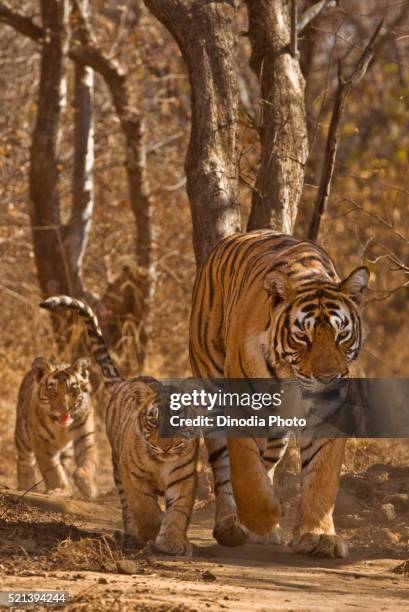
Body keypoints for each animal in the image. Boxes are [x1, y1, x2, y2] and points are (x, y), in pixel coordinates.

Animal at [190, 228, 368, 556]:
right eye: (303, 337)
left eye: (341, 335)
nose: (327, 378)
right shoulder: (242, 407)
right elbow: (245, 471)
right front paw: (266, 515)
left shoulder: (327, 415)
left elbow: (321, 476)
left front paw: (319, 536)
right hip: (212, 389)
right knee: (222, 466)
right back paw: (232, 526)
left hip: (278, 428)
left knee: (268, 462)